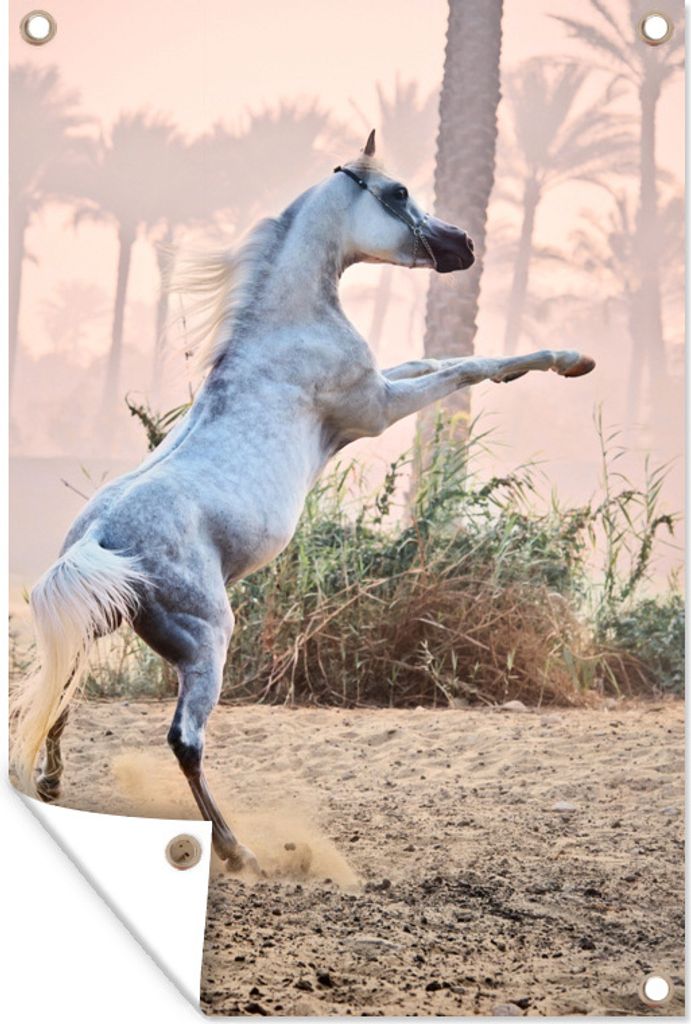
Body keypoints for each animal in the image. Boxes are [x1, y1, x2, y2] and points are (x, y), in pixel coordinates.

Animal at [12, 130, 595, 873]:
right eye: (398, 193)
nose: (462, 244)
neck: (284, 329)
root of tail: (97, 539)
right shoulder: (376, 408)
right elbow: (463, 366)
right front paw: (568, 359)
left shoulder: (381, 387)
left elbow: (433, 360)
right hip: (206, 641)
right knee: (184, 740)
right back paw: (239, 853)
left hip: (98, 626)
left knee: (59, 698)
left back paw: (55, 785)